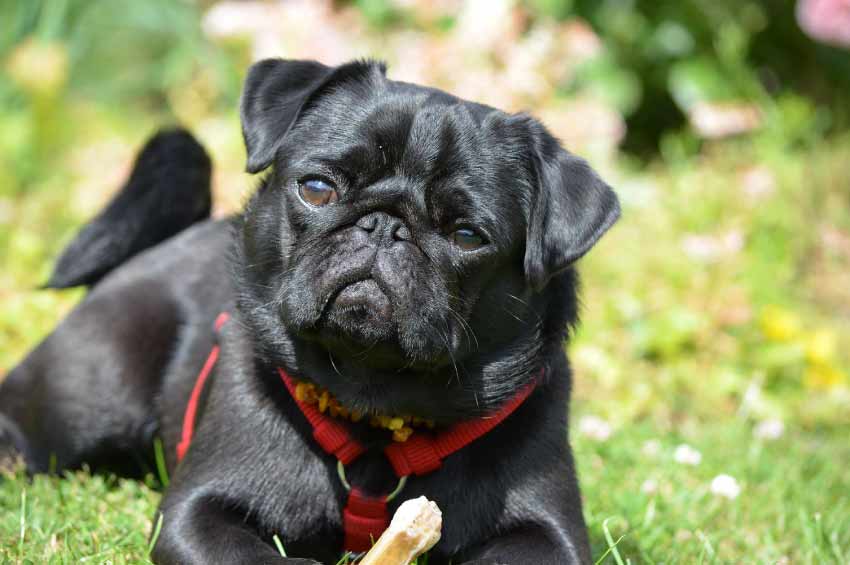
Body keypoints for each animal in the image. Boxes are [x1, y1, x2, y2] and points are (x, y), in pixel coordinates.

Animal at [3, 58, 620, 564]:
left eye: (467, 235)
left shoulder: (550, 536)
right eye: (318, 188)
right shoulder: (197, 513)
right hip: (96, 384)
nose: (384, 224)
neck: (377, 415)